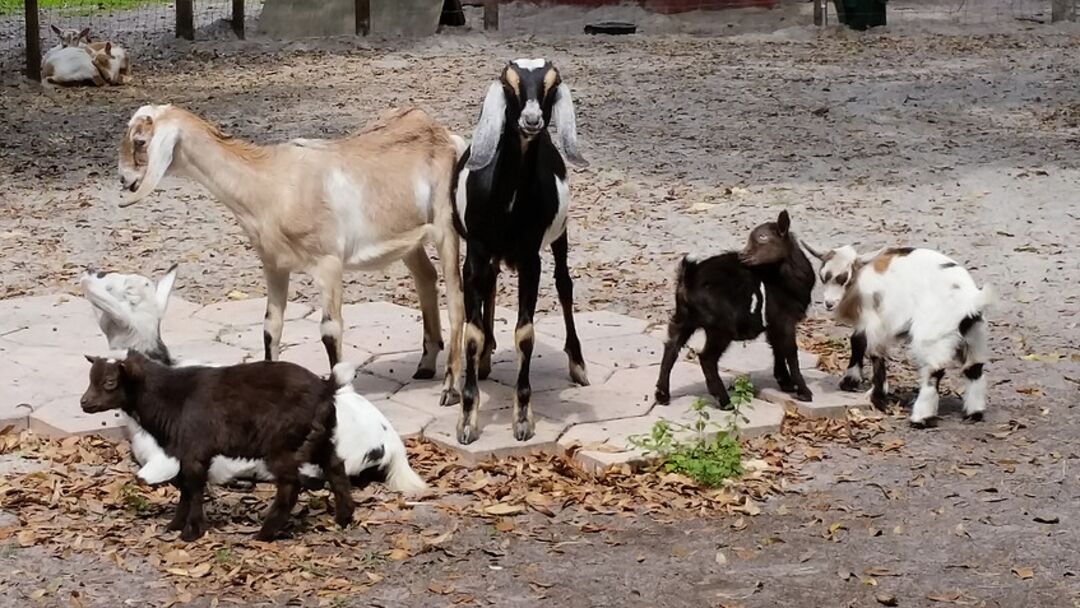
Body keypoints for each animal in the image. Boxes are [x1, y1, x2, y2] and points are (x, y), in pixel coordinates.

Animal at [453, 59, 596, 444]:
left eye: (551, 85)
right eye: (509, 85)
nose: (532, 120)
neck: (509, 203)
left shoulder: (531, 259)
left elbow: (525, 334)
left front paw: (522, 417)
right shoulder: (475, 253)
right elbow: (472, 333)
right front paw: (467, 419)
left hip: (560, 236)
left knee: (564, 284)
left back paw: (578, 364)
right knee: (491, 284)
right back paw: (485, 359)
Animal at [799, 245, 989, 425]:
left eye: (845, 278)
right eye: (823, 276)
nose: (829, 303)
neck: (861, 278)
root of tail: (971, 299)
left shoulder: (875, 320)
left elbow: (873, 351)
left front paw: (876, 394)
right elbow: (857, 341)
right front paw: (852, 381)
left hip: (932, 334)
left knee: (934, 371)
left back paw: (921, 418)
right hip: (974, 333)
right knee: (974, 368)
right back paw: (974, 412)